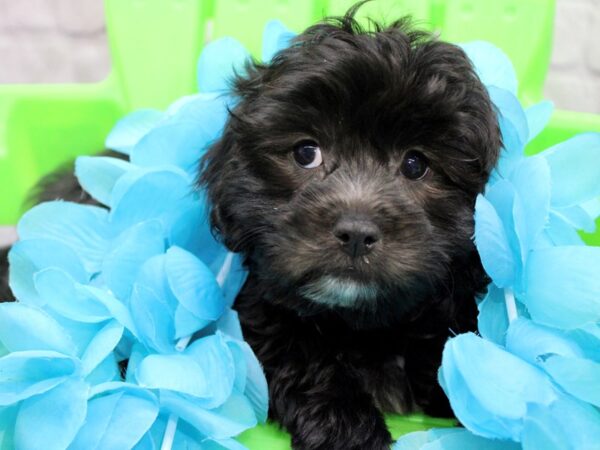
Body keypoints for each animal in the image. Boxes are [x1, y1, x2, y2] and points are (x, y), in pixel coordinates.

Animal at [199, 6, 500, 450]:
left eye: (415, 164)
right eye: (306, 153)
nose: (356, 233)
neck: (364, 327)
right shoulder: (260, 311)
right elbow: (300, 355)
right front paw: (349, 430)